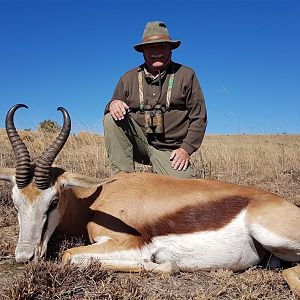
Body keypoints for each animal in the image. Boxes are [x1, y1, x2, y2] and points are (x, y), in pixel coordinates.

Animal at [0, 105, 300, 296]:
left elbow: (68, 255)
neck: (94, 202)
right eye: (15, 202)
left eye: (53, 201)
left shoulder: (128, 245)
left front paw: (166, 263)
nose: (25, 256)